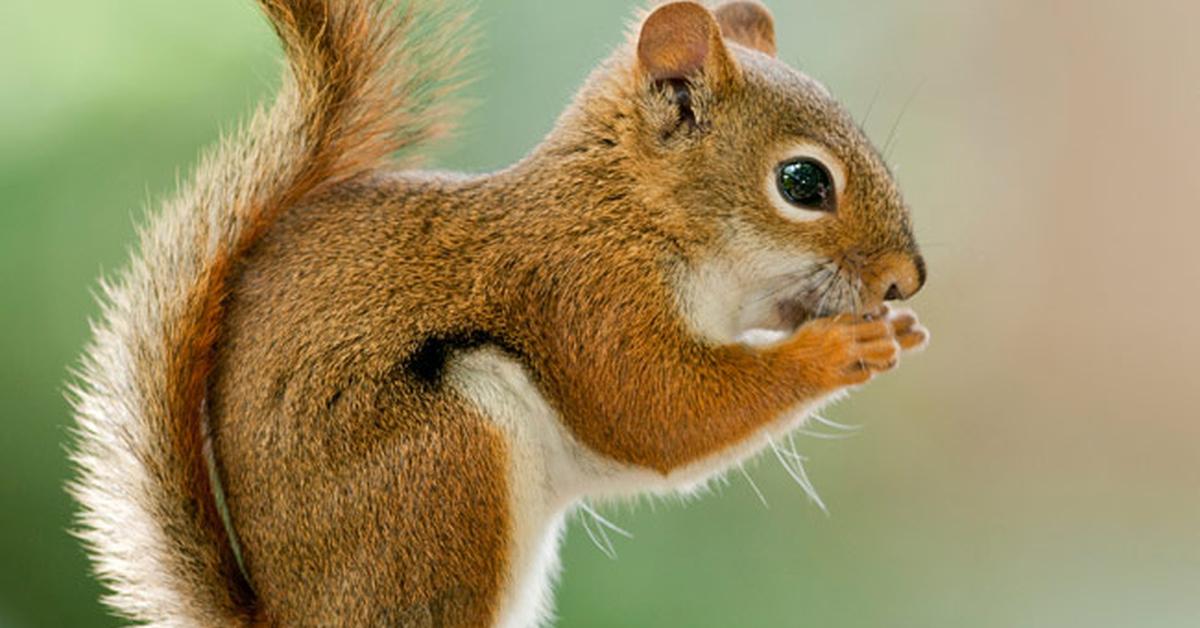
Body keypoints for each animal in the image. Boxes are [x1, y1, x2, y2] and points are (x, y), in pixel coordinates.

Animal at [68, 0, 926, 624]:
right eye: (803, 183)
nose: (906, 281)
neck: (634, 209)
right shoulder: (584, 293)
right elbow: (654, 411)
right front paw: (836, 349)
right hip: (445, 461)